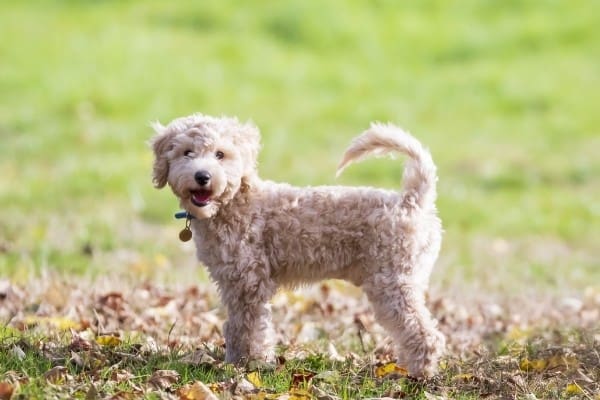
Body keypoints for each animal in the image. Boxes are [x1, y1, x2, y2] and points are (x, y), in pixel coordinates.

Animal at [151, 113, 446, 378]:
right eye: (187, 152)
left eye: (220, 154)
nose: (202, 176)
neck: (233, 203)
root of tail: (411, 201)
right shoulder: (233, 283)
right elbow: (235, 326)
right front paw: (235, 361)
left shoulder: (249, 282)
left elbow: (250, 327)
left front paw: (251, 364)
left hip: (392, 282)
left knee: (424, 332)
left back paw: (417, 374)